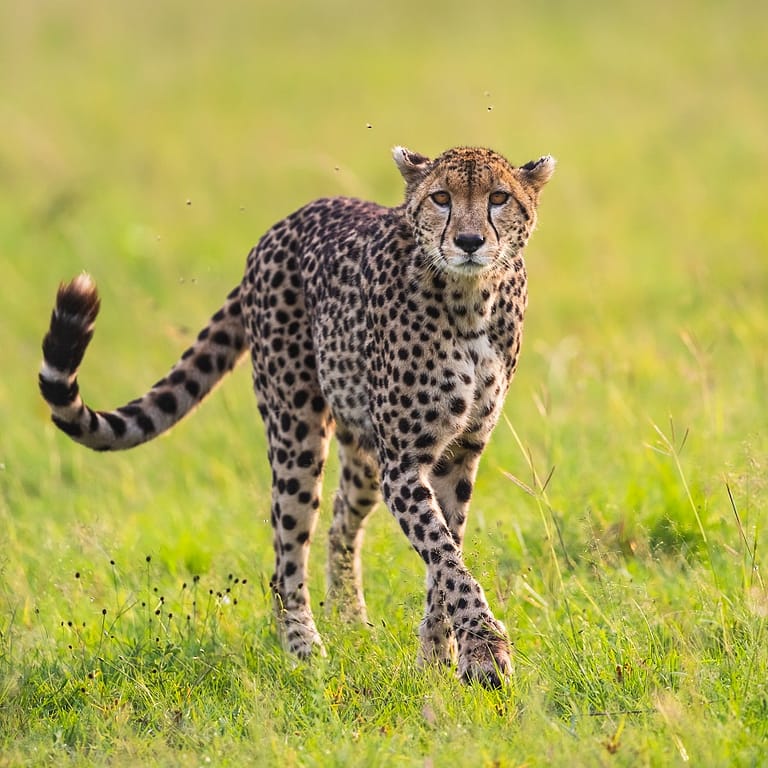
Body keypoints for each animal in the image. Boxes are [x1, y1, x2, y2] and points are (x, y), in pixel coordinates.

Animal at [39, 147, 552, 688]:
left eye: (499, 198)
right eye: (440, 198)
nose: (469, 241)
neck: (471, 298)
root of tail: (285, 223)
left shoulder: (458, 454)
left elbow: (445, 557)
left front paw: (438, 657)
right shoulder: (405, 463)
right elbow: (444, 555)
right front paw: (484, 650)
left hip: (361, 452)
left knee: (339, 523)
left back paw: (351, 622)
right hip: (296, 433)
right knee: (286, 554)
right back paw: (306, 650)